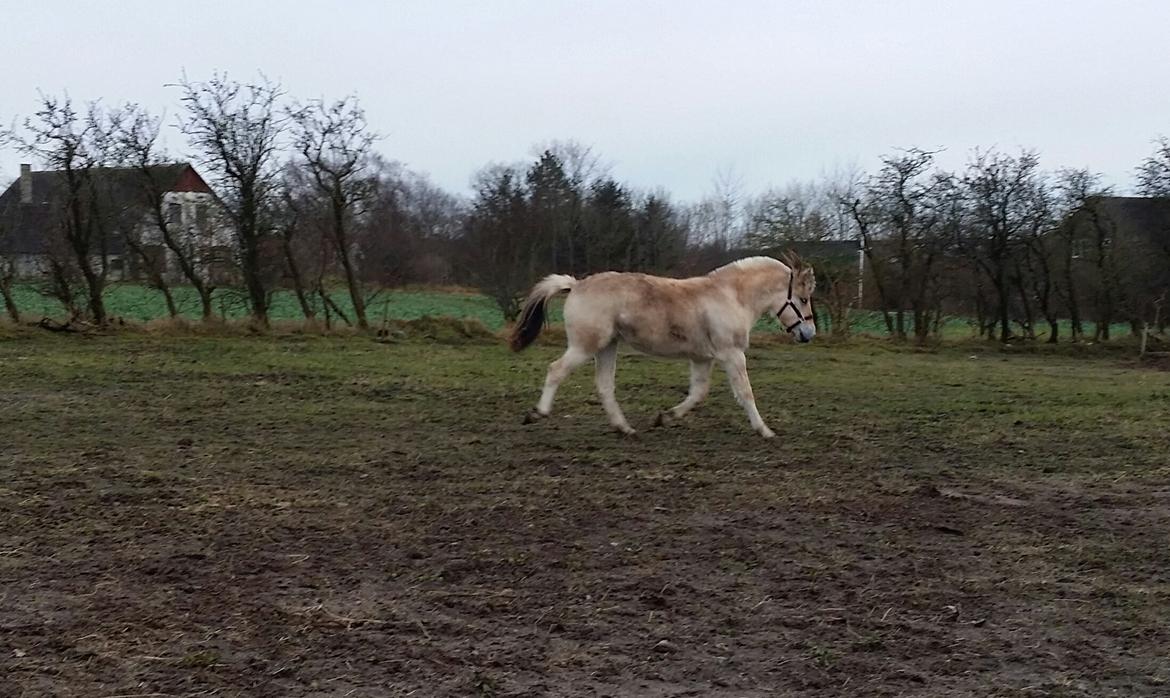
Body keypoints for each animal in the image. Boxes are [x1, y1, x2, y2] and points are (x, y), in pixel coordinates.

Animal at [507, 253, 819, 434]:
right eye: (803, 298)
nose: (809, 333)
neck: (731, 296)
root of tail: (577, 284)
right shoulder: (732, 354)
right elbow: (745, 392)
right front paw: (765, 430)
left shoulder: (702, 358)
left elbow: (698, 393)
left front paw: (665, 418)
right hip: (585, 346)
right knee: (556, 370)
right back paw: (537, 413)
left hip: (607, 347)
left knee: (605, 385)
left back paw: (625, 428)